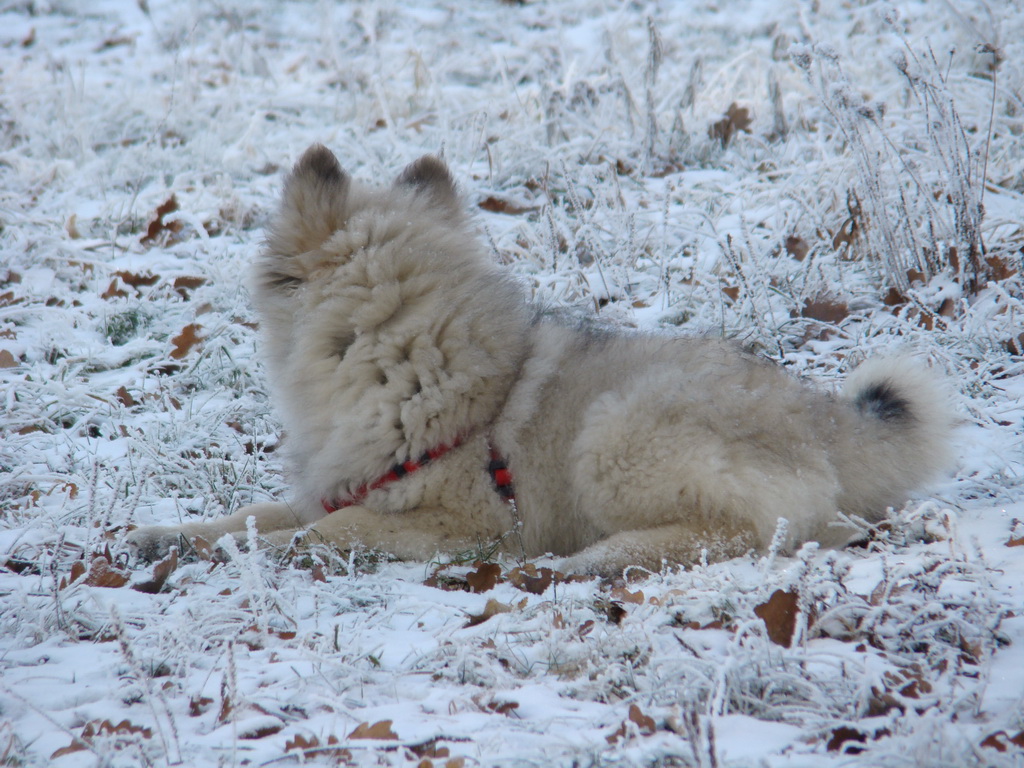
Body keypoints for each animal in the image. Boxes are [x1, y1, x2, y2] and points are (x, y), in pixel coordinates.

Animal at [125, 144, 950, 577]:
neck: (400, 360)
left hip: (617, 434)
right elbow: (250, 515)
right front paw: (171, 536)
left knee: (763, 531)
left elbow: (327, 531)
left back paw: (593, 559)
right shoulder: (338, 484)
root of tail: (830, 422)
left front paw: (270, 554)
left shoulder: (462, 523)